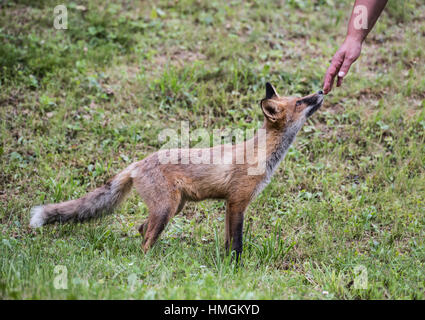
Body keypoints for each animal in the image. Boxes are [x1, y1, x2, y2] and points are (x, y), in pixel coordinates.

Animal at [29, 83, 322, 260]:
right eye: (300, 102)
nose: (320, 91)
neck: (259, 153)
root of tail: (138, 163)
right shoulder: (237, 202)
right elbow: (236, 243)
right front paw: (237, 268)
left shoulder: (230, 203)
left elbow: (228, 241)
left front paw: (227, 267)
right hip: (166, 209)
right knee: (145, 240)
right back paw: (148, 264)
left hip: (172, 208)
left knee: (141, 229)